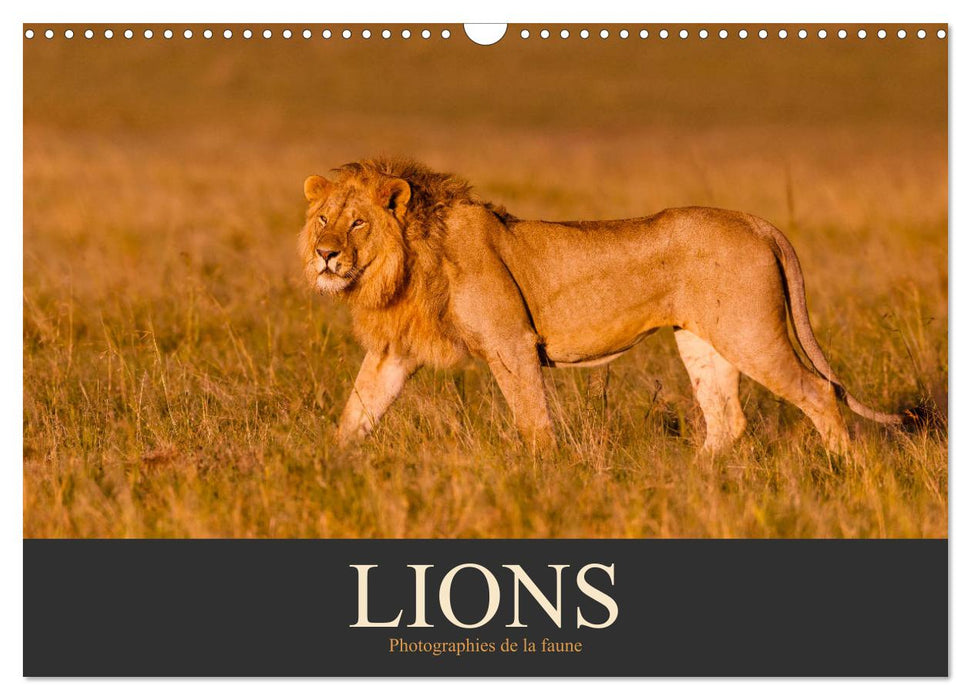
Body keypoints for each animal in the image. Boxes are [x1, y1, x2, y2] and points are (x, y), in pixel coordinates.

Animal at [299, 157, 905, 454]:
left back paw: (852, 473)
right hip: (702, 339)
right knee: (726, 420)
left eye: (359, 223)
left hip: (750, 333)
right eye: (323, 218)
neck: (408, 261)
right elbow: (357, 411)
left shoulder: (511, 342)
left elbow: (532, 422)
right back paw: (691, 483)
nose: (326, 255)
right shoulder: (394, 352)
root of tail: (757, 221)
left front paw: (541, 478)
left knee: (819, 393)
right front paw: (325, 467)